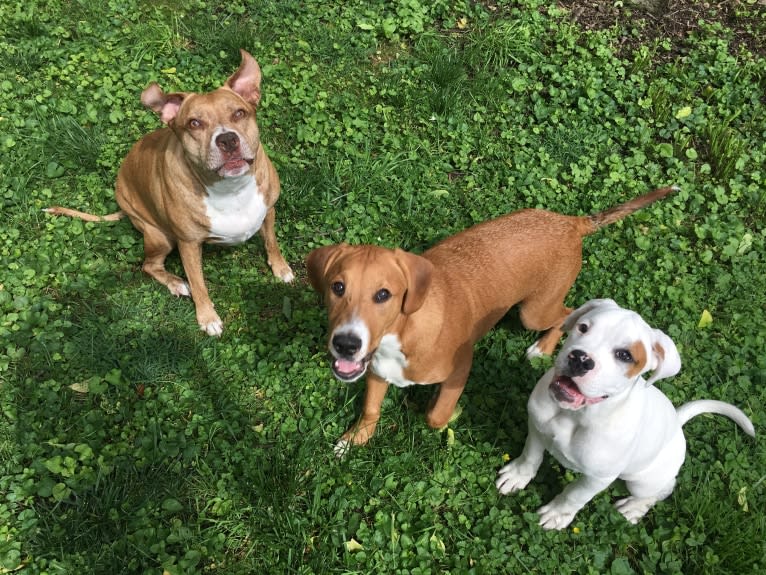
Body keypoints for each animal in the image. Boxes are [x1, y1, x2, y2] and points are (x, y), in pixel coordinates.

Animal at [46, 52, 294, 338]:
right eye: (194, 123)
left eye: (239, 113)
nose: (227, 140)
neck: (231, 188)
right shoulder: (188, 244)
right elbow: (199, 283)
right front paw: (207, 317)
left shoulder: (269, 210)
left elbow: (271, 242)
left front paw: (281, 268)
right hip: (160, 237)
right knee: (149, 265)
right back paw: (176, 284)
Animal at [308, 187, 680, 456]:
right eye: (337, 287)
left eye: (383, 295)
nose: (345, 344)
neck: (403, 331)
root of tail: (570, 222)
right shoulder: (375, 370)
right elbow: (371, 409)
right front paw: (353, 439)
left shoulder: (461, 367)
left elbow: (435, 416)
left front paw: (442, 411)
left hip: (535, 312)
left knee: (568, 313)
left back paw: (542, 347)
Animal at [498, 302, 756, 532]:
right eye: (583, 328)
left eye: (625, 355)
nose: (580, 359)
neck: (574, 415)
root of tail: (677, 423)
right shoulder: (537, 426)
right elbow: (531, 456)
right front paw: (517, 476)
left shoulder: (598, 478)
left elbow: (574, 495)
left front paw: (557, 514)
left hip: (642, 481)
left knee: (663, 489)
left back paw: (634, 508)